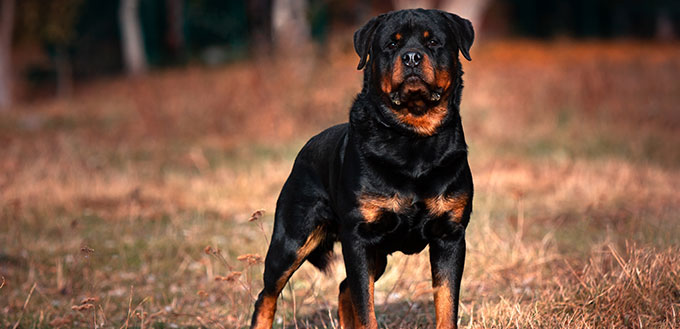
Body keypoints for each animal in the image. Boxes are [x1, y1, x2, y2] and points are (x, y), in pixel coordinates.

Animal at [250, 8, 472, 328]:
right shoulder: (359, 238)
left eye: (433, 42)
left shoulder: (450, 235)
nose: (412, 56)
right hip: (292, 239)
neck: (413, 138)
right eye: (391, 44)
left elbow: (446, 304)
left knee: (344, 287)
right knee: (267, 294)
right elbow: (366, 309)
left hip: (375, 255)